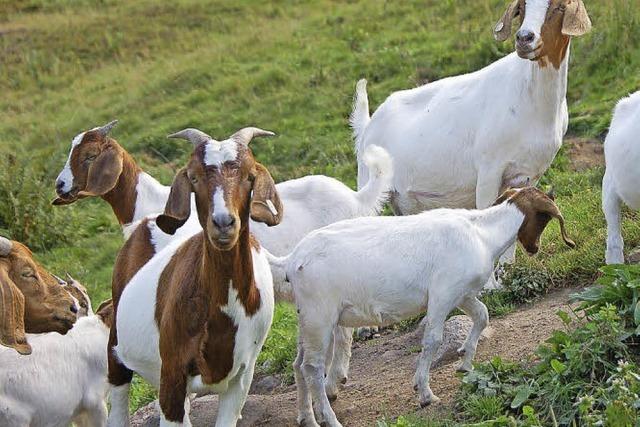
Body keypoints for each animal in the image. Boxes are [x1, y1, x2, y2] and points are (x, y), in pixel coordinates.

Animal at [106, 127, 282, 427]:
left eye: (249, 176)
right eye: (194, 177)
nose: (223, 223)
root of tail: (146, 222)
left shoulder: (243, 375)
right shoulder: (172, 372)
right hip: (117, 345)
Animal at [270, 188, 576, 427]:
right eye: (544, 218)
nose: (534, 248)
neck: (481, 233)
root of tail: (291, 260)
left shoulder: (462, 294)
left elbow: (482, 316)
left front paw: (465, 363)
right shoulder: (442, 294)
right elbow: (433, 340)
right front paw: (425, 392)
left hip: (307, 318)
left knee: (298, 365)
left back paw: (307, 418)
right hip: (320, 316)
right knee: (312, 367)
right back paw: (329, 419)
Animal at [352, 0, 592, 270]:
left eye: (560, 7)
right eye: (521, 8)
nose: (524, 38)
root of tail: (368, 125)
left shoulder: (529, 175)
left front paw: (509, 268)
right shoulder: (489, 170)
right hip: (369, 184)